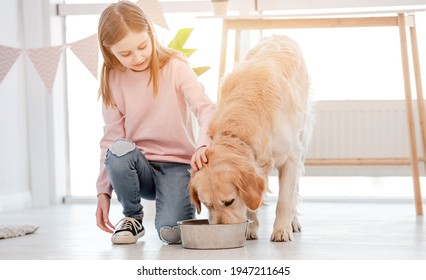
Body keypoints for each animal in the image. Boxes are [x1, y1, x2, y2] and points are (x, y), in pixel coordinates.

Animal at [190, 35, 312, 241]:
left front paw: (281, 230)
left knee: (295, 189)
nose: (220, 230)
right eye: (207, 205)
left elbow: (285, 199)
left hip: (302, 137)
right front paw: (251, 228)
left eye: (229, 201)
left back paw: (293, 222)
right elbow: (251, 201)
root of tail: (280, 36)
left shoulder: (291, 156)